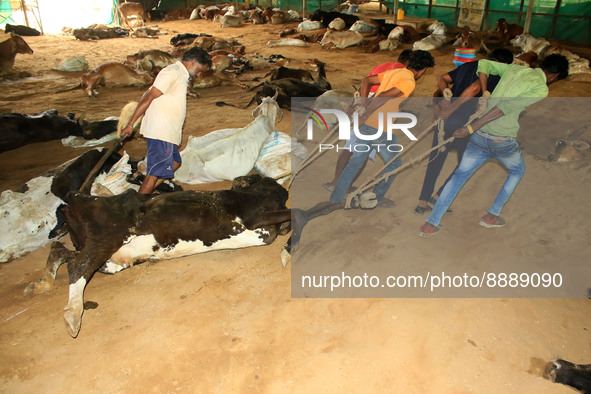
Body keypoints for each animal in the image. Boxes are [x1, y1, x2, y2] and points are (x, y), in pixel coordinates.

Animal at [27, 175, 294, 338]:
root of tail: (75, 198)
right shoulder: (254, 218)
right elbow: (299, 211)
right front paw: (287, 251)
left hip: (110, 259)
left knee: (62, 251)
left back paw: (42, 283)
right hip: (109, 235)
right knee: (78, 266)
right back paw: (72, 315)